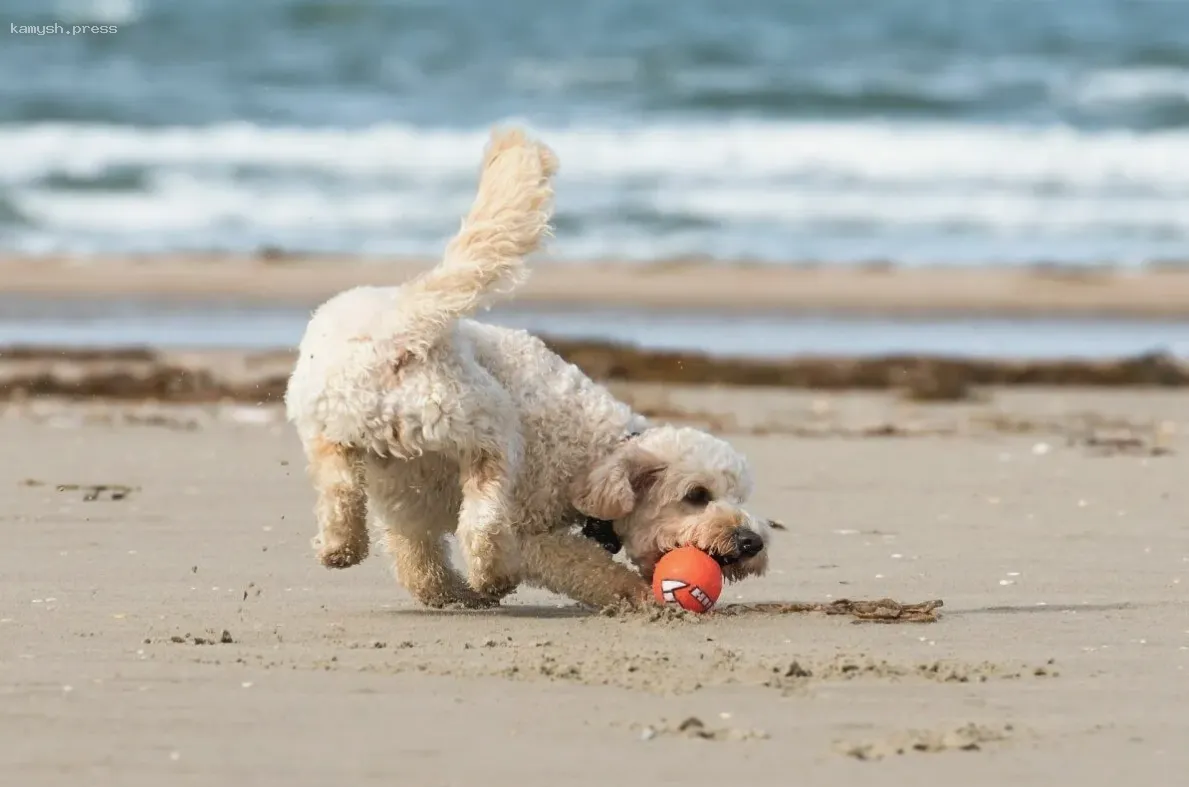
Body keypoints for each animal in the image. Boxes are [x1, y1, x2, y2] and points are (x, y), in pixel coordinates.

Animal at [282, 127, 775, 608]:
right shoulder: (530, 529)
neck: (596, 454)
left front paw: (450, 593)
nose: (751, 542)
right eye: (697, 496)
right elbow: (585, 566)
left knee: (344, 489)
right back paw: (491, 574)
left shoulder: (406, 506)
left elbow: (417, 562)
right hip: (488, 427)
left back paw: (344, 547)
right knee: (483, 519)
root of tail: (402, 324)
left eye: (738, 496)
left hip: (332, 426)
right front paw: (634, 594)